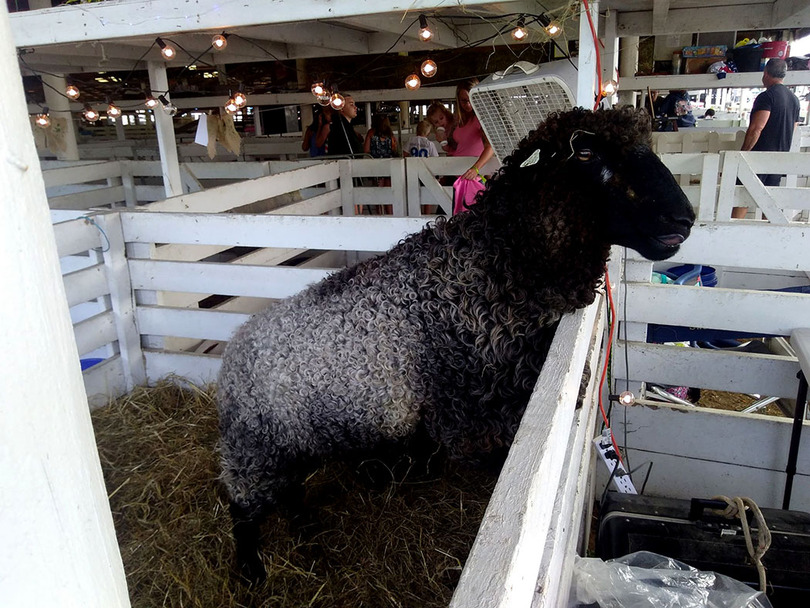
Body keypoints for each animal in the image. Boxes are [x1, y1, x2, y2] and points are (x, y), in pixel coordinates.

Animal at [215, 108, 696, 580]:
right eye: (586, 153)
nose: (684, 219)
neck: (495, 266)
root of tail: (234, 353)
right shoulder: (479, 406)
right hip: (254, 452)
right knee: (242, 509)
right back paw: (250, 569)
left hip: (294, 445)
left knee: (291, 495)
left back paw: (306, 533)